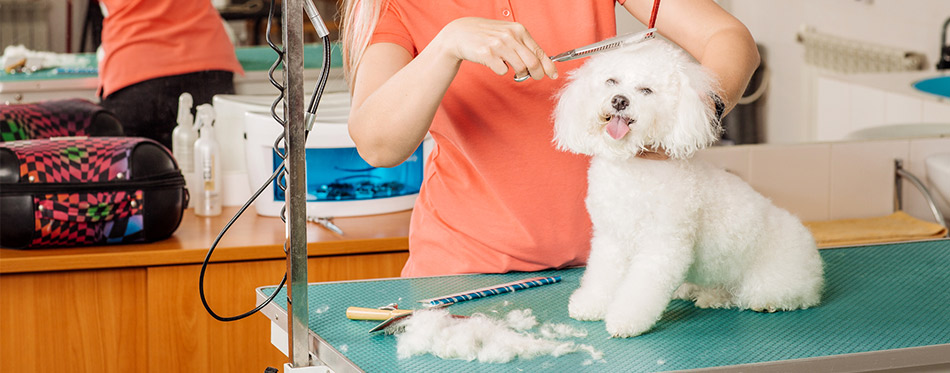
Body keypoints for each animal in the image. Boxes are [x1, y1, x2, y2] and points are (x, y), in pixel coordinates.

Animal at [556, 40, 820, 338]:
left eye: (646, 90)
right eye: (611, 81)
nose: (619, 100)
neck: (632, 171)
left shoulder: (664, 244)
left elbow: (640, 289)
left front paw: (625, 319)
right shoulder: (611, 238)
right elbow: (603, 275)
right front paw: (592, 304)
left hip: (771, 280)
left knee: (777, 295)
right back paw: (708, 295)